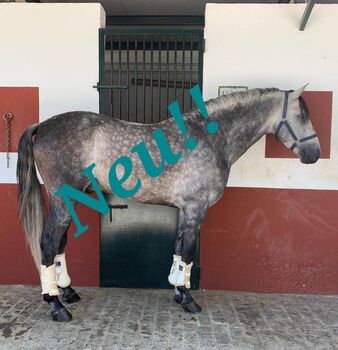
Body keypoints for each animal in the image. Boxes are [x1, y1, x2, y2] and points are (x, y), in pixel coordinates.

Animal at [17, 86, 320, 322]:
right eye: (302, 115)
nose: (315, 154)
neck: (211, 139)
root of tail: (42, 125)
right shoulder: (196, 210)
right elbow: (187, 253)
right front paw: (188, 300)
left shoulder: (185, 211)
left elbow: (178, 252)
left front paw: (177, 291)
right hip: (63, 200)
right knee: (48, 244)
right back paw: (56, 305)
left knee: (59, 245)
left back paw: (67, 293)